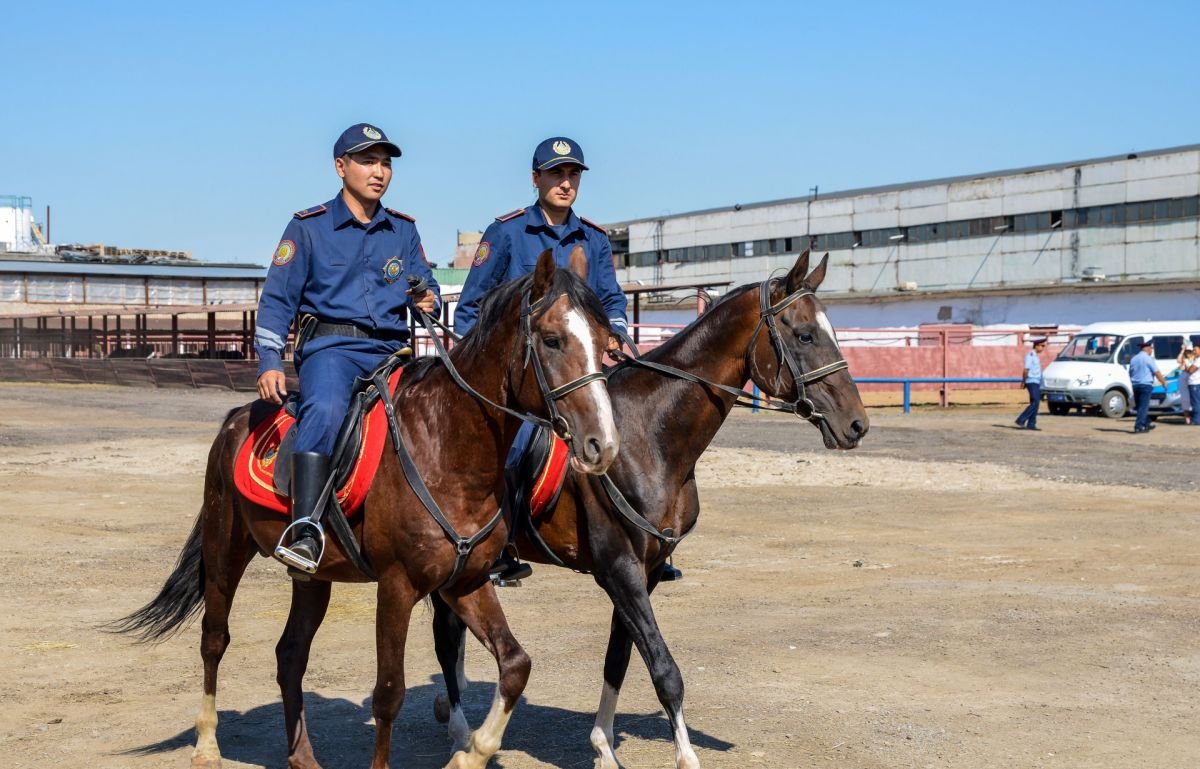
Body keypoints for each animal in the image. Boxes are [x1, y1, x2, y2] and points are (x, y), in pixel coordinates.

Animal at [112, 249, 624, 763]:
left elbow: (516, 664)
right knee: (214, 640)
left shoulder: (466, 581)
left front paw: (470, 753)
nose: (603, 444)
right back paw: (206, 745)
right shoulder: (396, 587)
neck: (444, 446)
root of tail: (238, 417)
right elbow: (389, 694)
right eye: (553, 339)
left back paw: (302, 756)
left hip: (313, 578)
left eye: (606, 342)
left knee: (290, 655)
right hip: (224, 552)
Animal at [429, 251, 864, 767]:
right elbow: (663, 668)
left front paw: (603, 746)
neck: (650, 437)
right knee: (444, 636)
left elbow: (619, 657)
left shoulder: (647, 569)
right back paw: (459, 731)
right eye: (804, 335)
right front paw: (686, 757)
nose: (857, 424)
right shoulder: (619, 569)